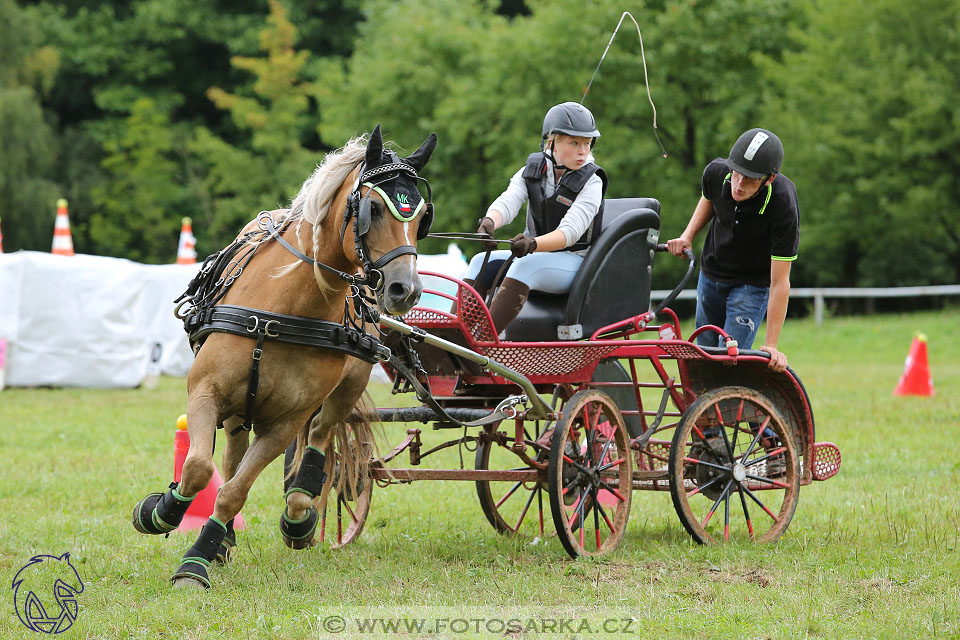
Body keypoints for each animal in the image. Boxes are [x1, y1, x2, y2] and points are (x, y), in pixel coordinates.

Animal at [132, 126, 438, 592]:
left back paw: (299, 512)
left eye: (421, 218)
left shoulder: (284, 423)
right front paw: (163, 511)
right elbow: (200, 467)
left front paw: (195, 562)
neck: (286, 311)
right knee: (231, 456)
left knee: (321, 437)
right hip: (239, 410)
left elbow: (235, 490)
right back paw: (223, 537)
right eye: (372, 209)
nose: (405, 290)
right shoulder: (205, 392)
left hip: (348, 384)